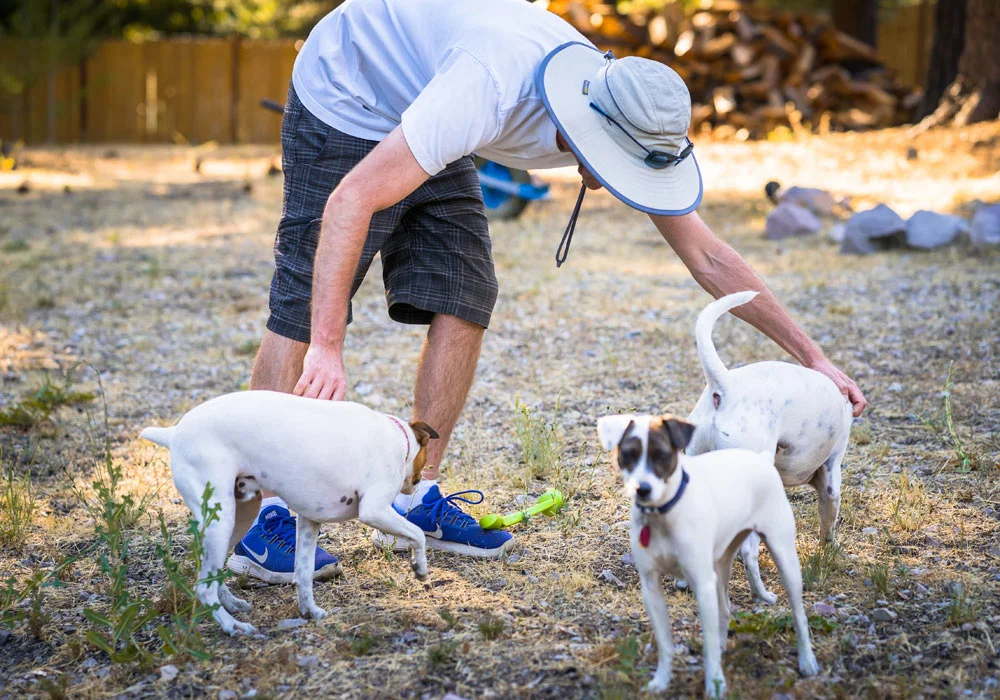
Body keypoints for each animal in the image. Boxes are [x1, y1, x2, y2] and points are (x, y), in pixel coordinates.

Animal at [142, 392, 438, 636]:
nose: (417, 483)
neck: (396, 439)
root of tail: (174, 433)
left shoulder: (309, 522)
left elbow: (303, 573)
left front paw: (309, 611)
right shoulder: (374, 510)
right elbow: (418, 534)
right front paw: (420, 568)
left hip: (238, 516)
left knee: (210, 574)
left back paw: (232, 605)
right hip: (220, 520)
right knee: (204, 587)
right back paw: (233, 626)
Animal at [596, 412, 816, 696]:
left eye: (661, 455)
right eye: (628, 454)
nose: (641, 489)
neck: (664, 514)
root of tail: (761, 459)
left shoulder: (702, 584)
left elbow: (708, 641)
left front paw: (714, 683)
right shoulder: (651, 587)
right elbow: (665, 642)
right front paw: (662, 680)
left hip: (783, 555)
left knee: (798, 613)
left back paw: (807, 660)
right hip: (721, 564)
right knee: (725, 609)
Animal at [688, 292, 852, 604]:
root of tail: (725, 386)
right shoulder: (830, 478)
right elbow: (829, 521)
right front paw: (832, 548)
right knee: (749, 552)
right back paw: (763, 595)